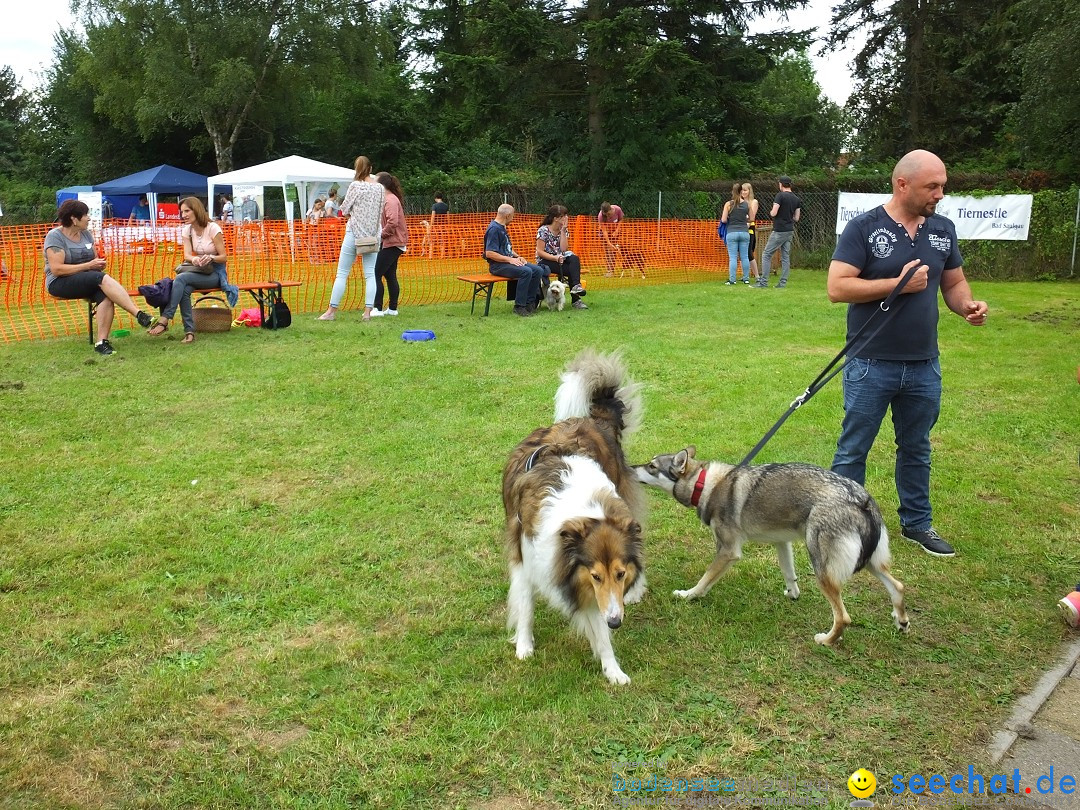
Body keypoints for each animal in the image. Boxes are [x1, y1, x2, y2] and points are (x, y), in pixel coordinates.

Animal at [635, 451, 907, 648]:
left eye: (651, 466)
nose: (629, 468)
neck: (704, 484)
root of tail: (861, 498)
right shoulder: (781, 543)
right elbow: (789, 573)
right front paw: (792, 594)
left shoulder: (727, 551)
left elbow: (704, 580)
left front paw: (688, 595)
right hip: (872, 563)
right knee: (898, 587)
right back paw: (901, 622)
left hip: (822, 568)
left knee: (843, 617)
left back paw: (826, 641)